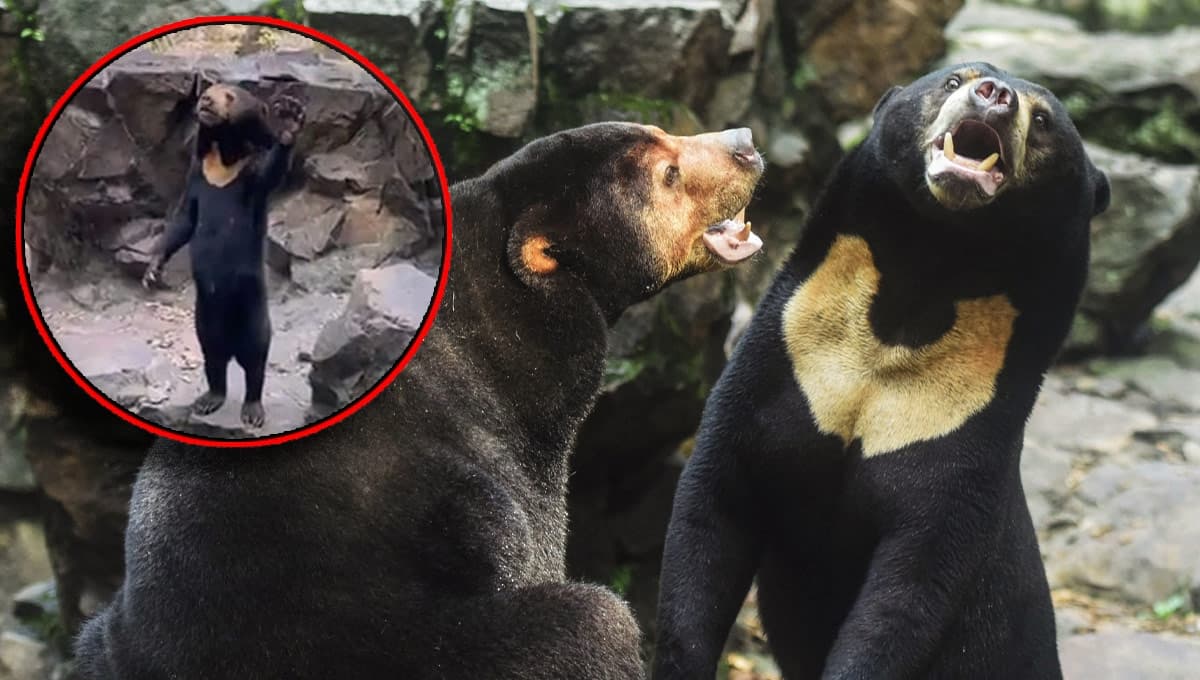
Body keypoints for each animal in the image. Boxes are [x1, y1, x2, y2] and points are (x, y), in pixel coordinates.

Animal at [141, 83, 305, 429]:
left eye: (230, 96)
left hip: (252, 307)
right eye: (209, 89)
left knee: (255, 357)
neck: (223, 160)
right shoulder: (197, 175)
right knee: (213, 356)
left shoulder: (249, 176)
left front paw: (289, 121)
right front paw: (152, 271)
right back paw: (208, 399)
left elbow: (271, 173)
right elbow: (185, 220)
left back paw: (252, 410)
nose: (205, 101)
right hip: (205, 317)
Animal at [653, 63, 1110, 680]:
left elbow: (911, 589)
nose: (994, 95)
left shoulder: (963, 431)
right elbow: (713, 510)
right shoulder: (778, 367)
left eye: (1043, 121)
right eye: (955, 80)